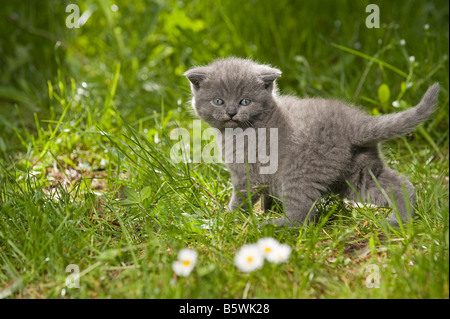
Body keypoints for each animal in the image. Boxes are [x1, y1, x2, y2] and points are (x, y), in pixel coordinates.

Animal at [184, 58, 440, 228]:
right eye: (218, 101)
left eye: (244, 101)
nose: (231, 112)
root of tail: (355, 124)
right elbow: (266, 195)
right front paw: (264, 210)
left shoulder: (247, 172)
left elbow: (242, 196)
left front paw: (228, 218)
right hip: (357, 173)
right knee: (399, 185)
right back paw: (400, 220)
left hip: (298, 174)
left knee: (303, 215)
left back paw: (274, 226)